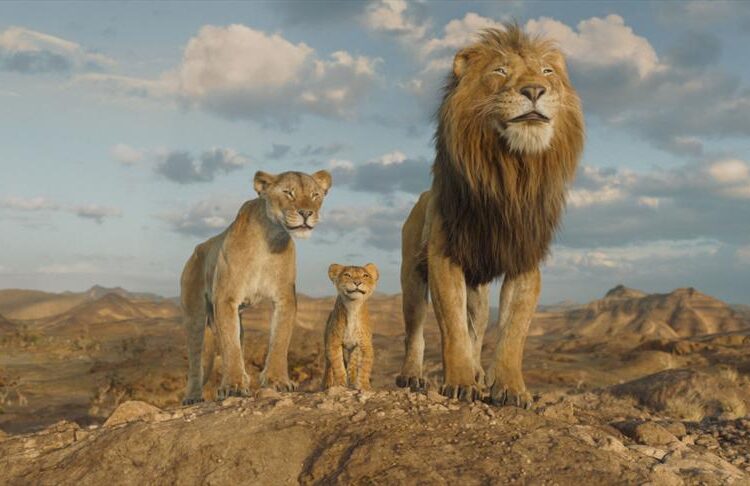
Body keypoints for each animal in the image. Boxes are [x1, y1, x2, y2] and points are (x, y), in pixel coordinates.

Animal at [180, 169, 332, 404]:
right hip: (195, 315)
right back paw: (193, 396)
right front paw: (232, 386)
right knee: (197, 356)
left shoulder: (284, 298)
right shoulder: (226, 298)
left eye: (315, 195)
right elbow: (230, 346)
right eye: (288, 192)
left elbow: (279, 340)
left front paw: (277, 380)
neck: (270, 238)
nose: (307, 213)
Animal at [396, 25, 584, 406]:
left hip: (478, 292)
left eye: (547, 72)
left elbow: (513, 332)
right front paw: (459, 382)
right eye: (500, 71)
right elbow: (452, 328)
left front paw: (510, 388)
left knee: (478, 328)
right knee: (415, 330)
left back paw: (479, 373)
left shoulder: (524, 259)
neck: (511, 173)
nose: (534, 90)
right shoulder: (444, 257)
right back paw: (412, 376)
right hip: (411, 276)